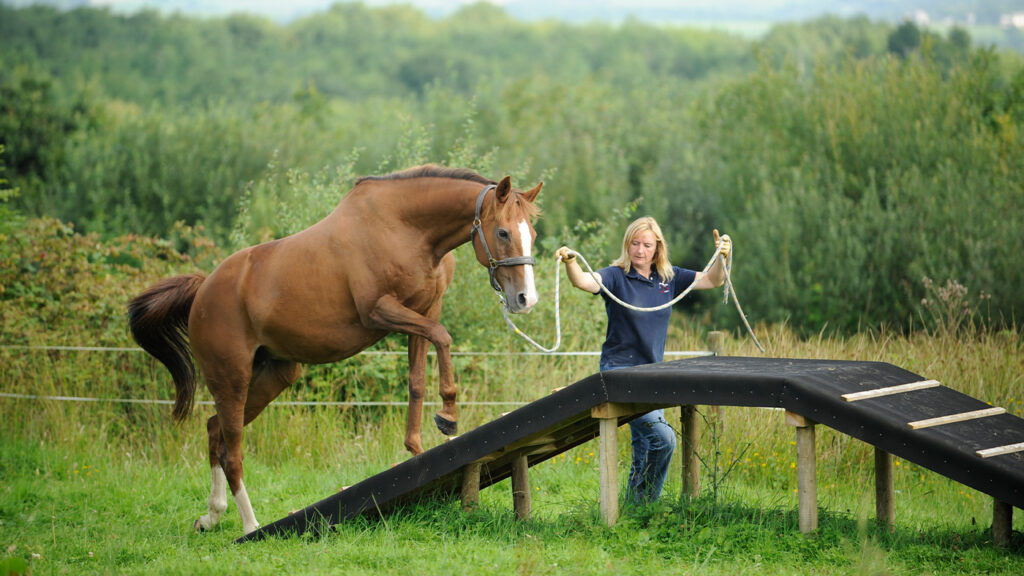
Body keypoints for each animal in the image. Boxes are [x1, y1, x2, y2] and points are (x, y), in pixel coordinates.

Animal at [128, 163, 544, 532]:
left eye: (533, 234)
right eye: (503, 232)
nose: (526, 300)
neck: (407, 229)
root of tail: (203, 290)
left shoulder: (423, 312)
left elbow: (416, 380)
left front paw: (419, 448)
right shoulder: (381, 311)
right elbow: (442, 338)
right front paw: (449, 415)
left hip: (272, 377)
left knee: (214, 430)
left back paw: (212, 517)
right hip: (231, 378)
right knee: (232, 451)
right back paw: (249, 525)